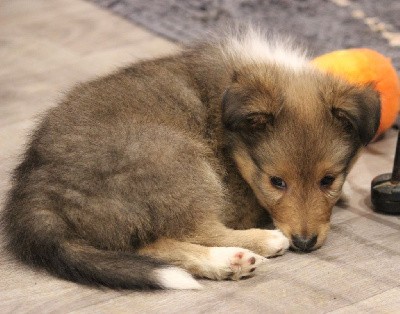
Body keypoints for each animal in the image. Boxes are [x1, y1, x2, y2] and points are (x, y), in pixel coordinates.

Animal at [1, 28, 380, 290]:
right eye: (276, 182)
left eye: (328, 180)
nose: (305, 243)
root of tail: (35, 194)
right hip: (176, 158)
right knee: (198, 228)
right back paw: (258, 244)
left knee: (149, 246)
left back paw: (229, 264)